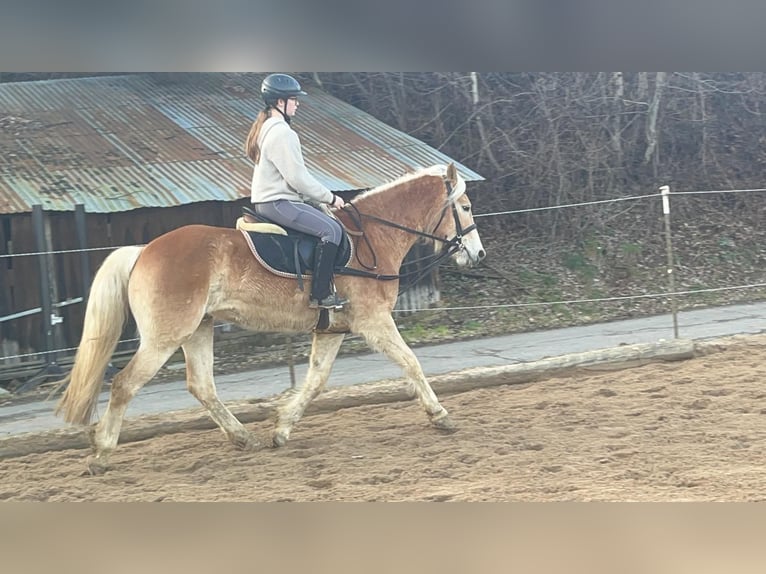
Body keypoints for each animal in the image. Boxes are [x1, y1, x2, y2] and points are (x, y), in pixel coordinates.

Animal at [56, 163, 486, 474]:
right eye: (465, 207)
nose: (478, 254)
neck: (371, 240)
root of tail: (144, 250)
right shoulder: (374, 321)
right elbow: (411, 362)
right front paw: (440, 415)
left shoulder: (333, 330)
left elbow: (316, 381)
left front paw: (281, 428)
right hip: (165, 337)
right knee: (125, 384)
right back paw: (101, 454)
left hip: (197, 330)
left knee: (202, 386)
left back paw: (244, 438)